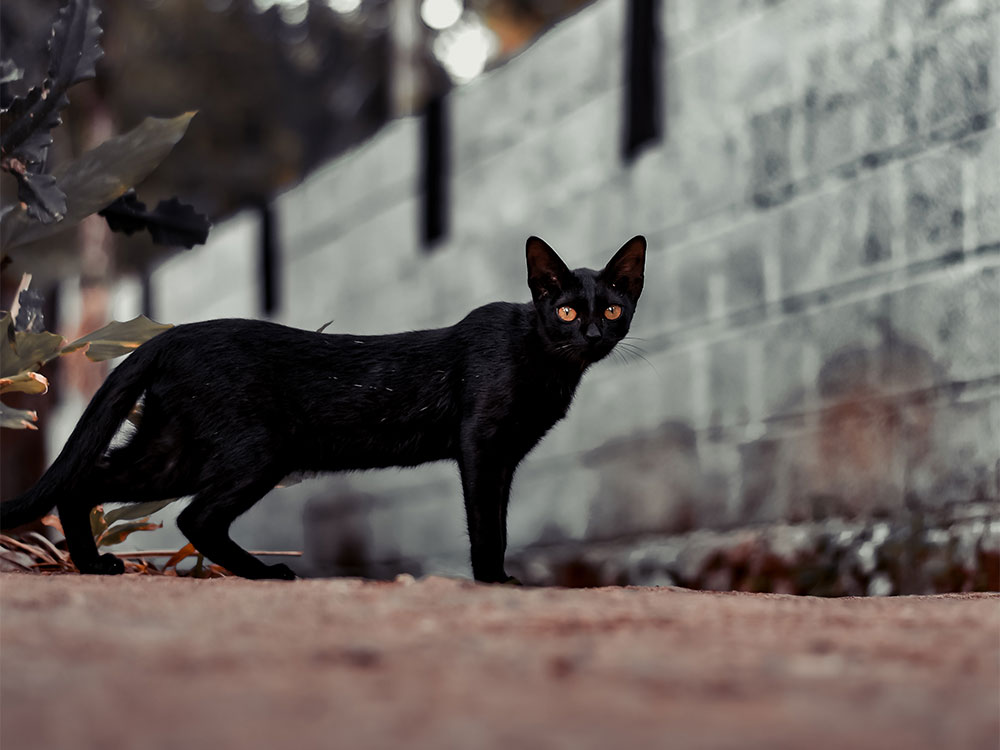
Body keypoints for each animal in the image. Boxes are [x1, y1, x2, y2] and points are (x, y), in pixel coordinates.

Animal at [3, 235, 644, 580]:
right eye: (565, 311)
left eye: (612, 309)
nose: (591, 333)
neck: (547, 361)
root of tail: (171, 336)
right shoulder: (483, 446)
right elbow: (488, 523)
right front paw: (494, 581)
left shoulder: (504, 456)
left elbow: (500, 523)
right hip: (256, 450)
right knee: (194, 517)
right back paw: (266, 573)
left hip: (174, 447)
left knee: (88, 481)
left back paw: (94, 566)